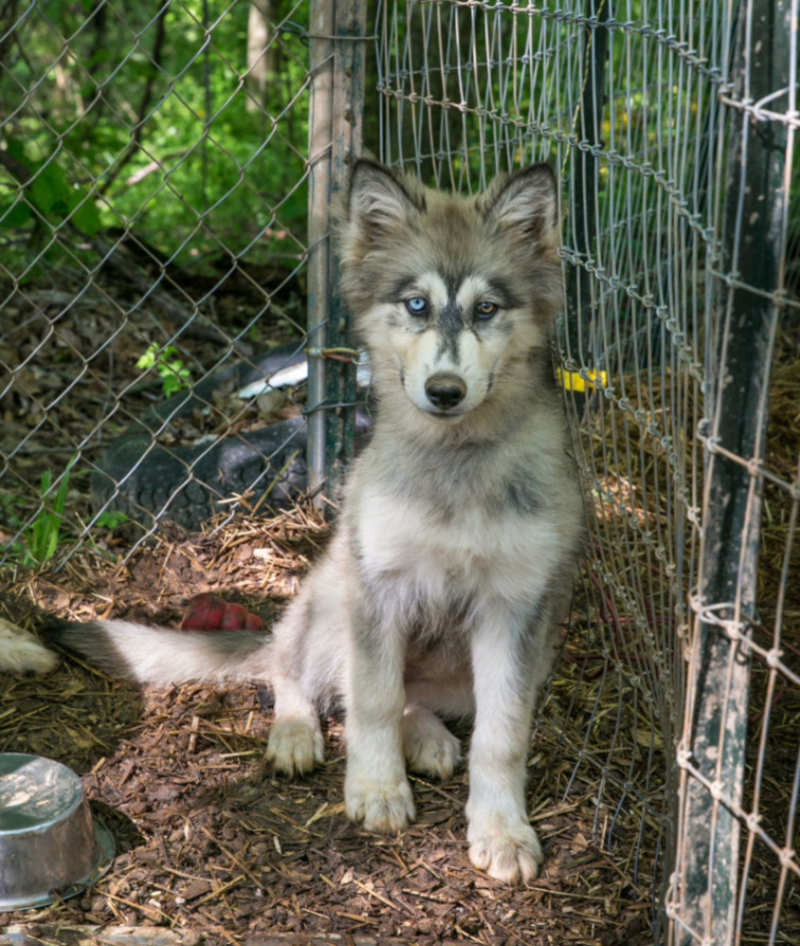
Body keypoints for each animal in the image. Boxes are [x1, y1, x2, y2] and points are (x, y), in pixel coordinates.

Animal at [51, 160, 588, 876]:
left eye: (486, 309)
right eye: (416, 305)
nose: (444, 392)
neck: (454, 461)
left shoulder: (515, 613)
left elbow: (501, 735)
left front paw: (501, 829)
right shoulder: (378, 590)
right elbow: (373, 701)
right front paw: (376, 788)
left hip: (505, 658)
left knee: (414, 697)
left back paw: (429, 738)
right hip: (333, 597)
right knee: (295, 671)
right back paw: (298, 734)